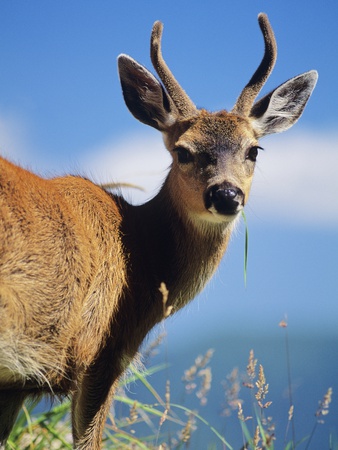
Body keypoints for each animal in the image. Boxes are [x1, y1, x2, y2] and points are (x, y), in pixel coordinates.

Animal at [0, 12, 316, 448]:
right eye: (183, 151)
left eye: (254, 149)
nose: (226, 194)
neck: (142, 261)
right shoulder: (101, 354)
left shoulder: (16, 384)